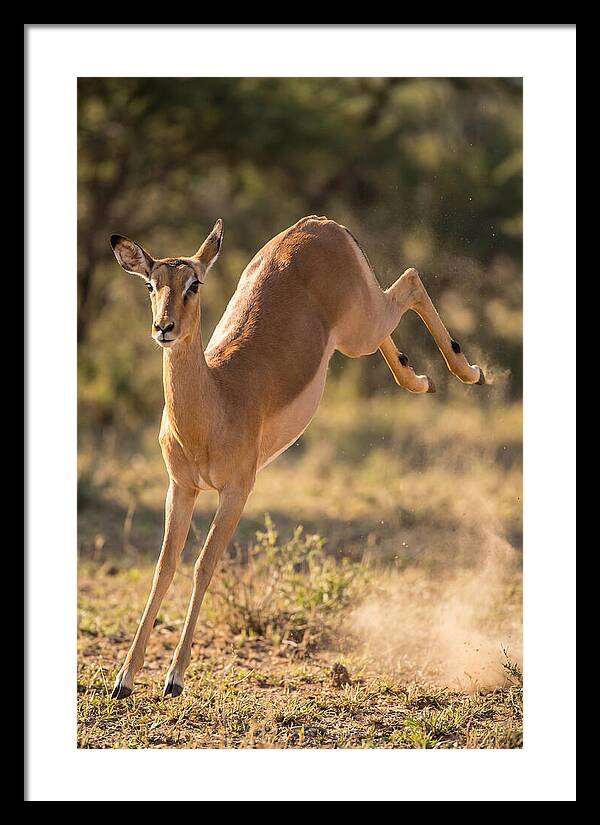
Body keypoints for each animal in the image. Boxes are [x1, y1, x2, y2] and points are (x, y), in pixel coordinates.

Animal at [109, 215, 485, 699]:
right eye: (151, 284)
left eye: (194, 283)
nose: (164, 328)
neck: (215, 401)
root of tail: (320, 223)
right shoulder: (181, 488)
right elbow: (163, 568)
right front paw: (124, 678)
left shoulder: (237, 491)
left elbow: (203, 565)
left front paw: (174, 678)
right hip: (357, 330)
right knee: (399, 306)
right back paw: (420, 379)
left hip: (360, 327)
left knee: (411, 279)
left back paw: (469, 372)